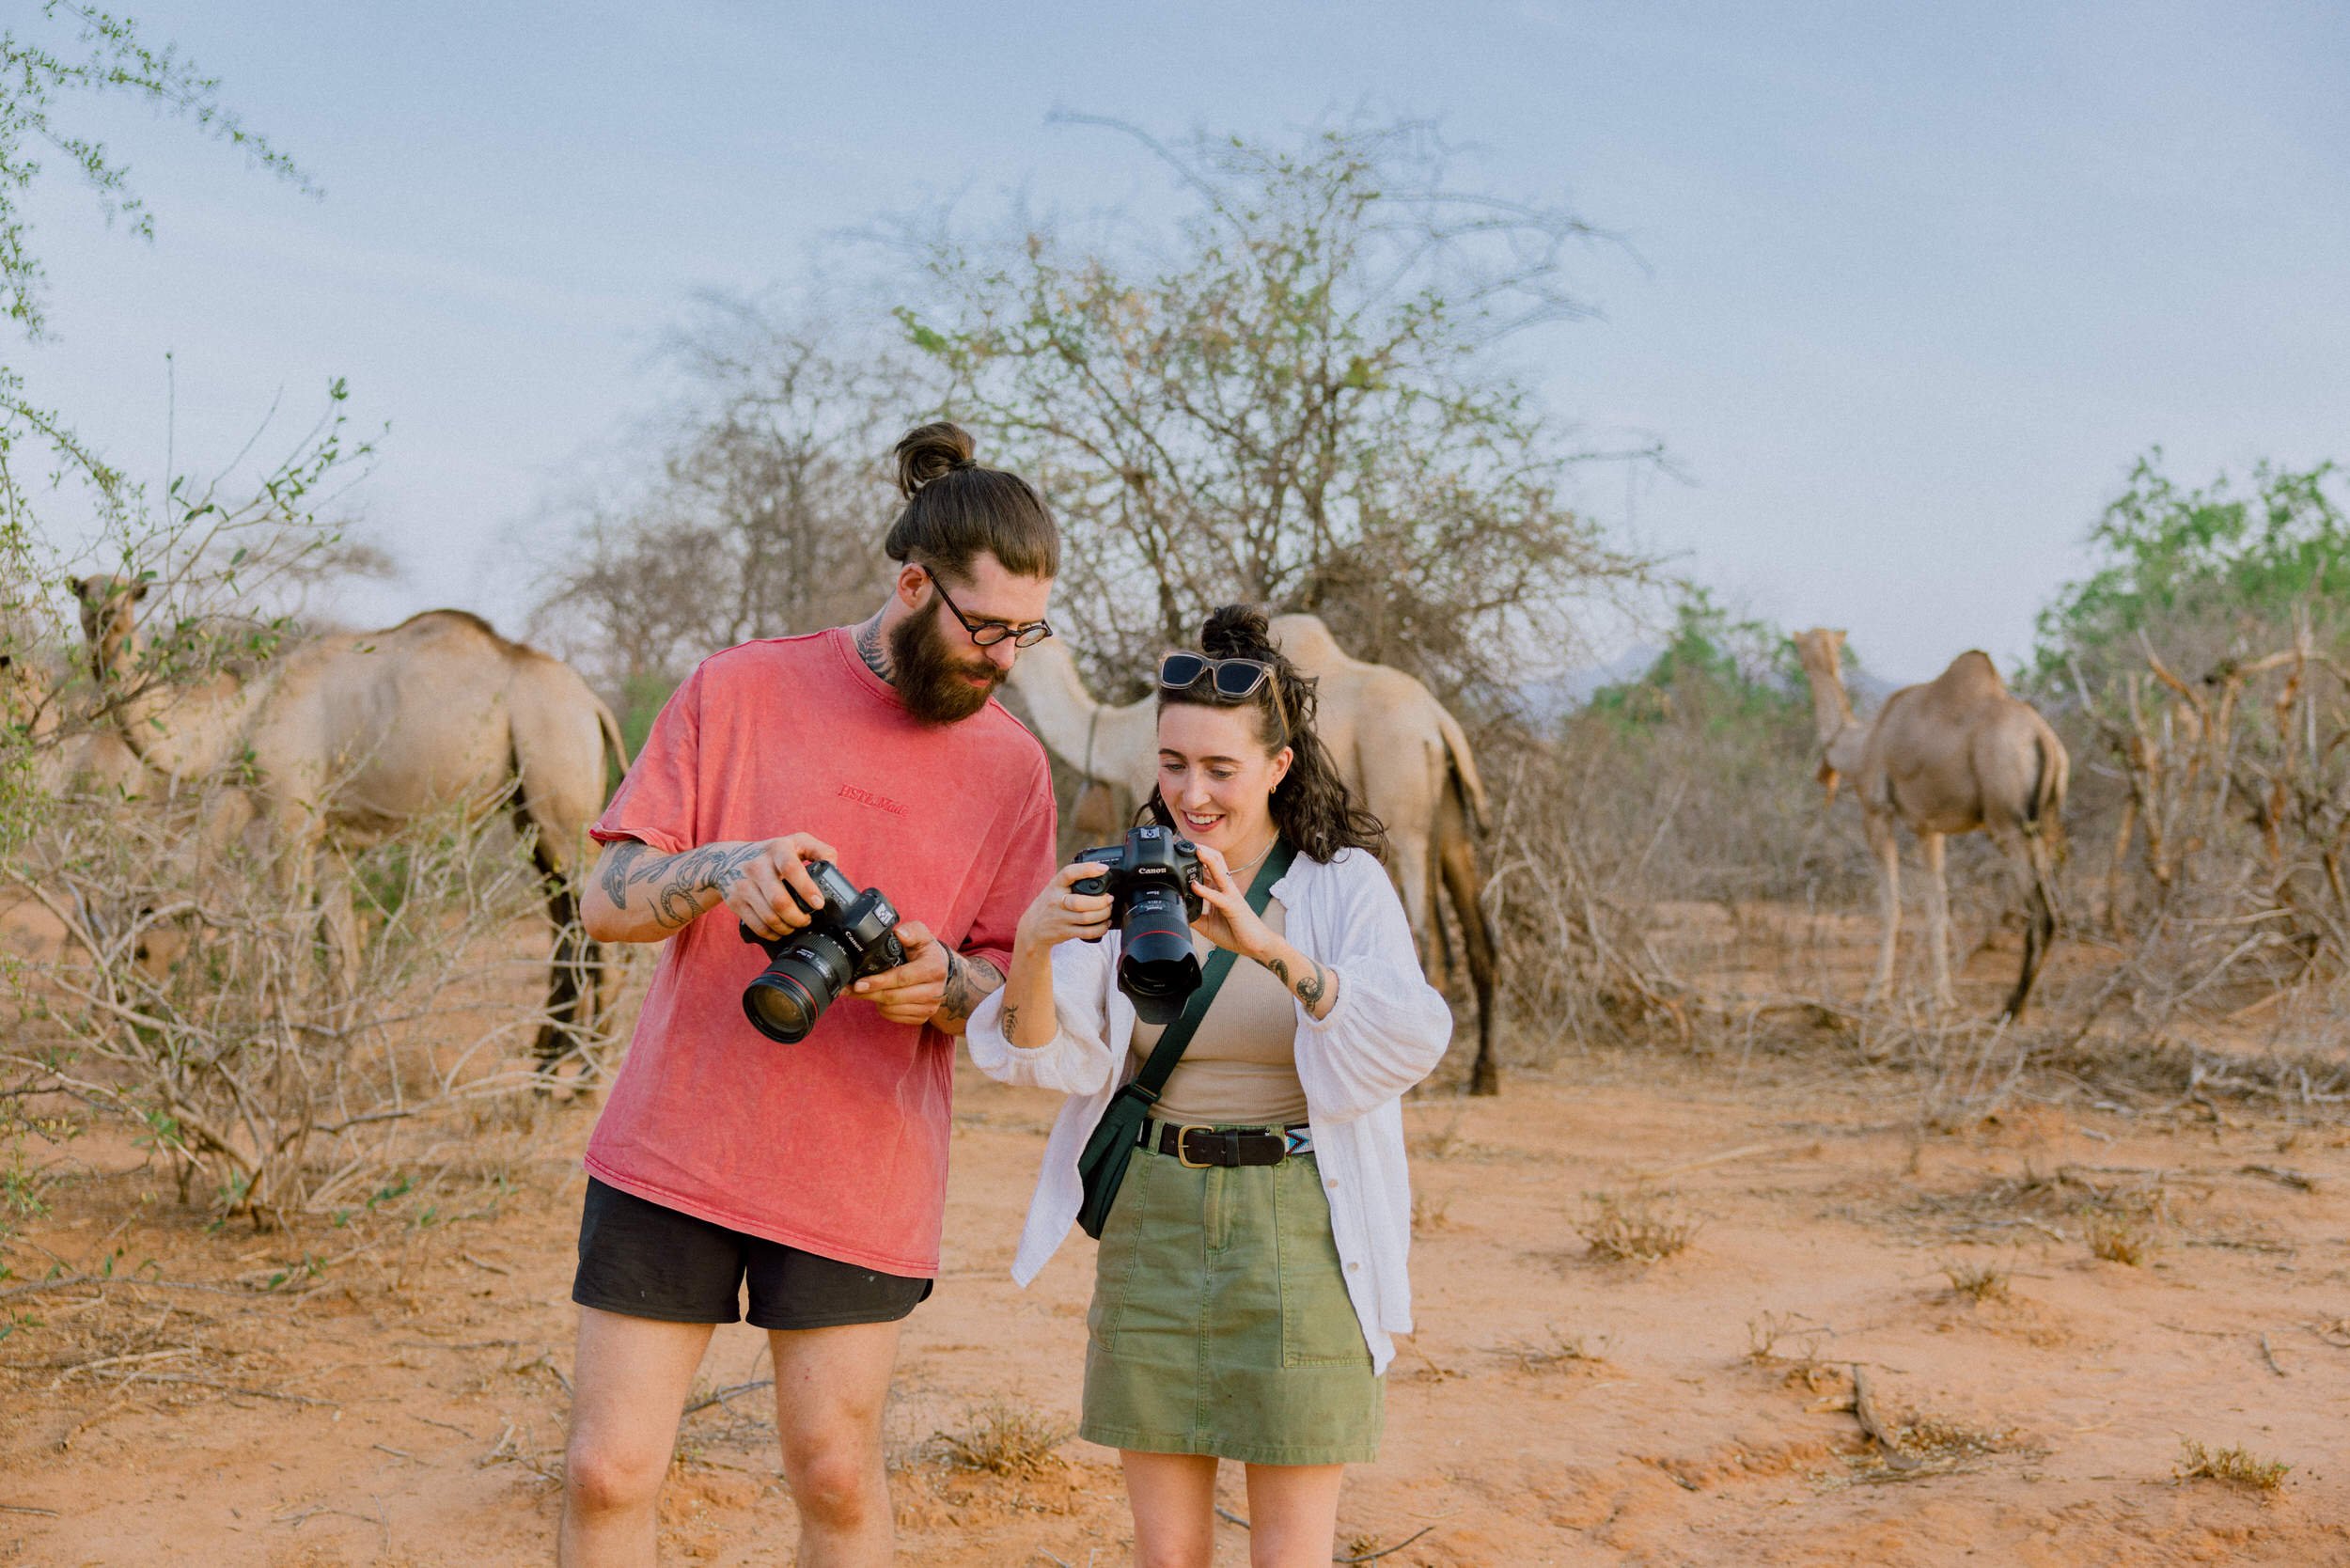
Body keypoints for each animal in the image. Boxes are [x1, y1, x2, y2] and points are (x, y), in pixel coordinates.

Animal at [76, 575, 630, 1067]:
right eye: (84, 592)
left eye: (141, 951)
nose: (104, 618)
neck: (241, 723)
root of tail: (592, 705)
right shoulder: (331, 842)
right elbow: (341, 948)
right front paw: (329, 1060)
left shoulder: (290, 820)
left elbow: (294, 940)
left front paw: (280, 1064)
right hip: (530, 815)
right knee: (564, 922)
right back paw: (544, 1070)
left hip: (557, 782)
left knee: (599, 932)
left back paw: (583, 1077)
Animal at [1010, 611, 1504, 1090]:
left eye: (1025, 639)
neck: (1114, 739)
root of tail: (1438, 722)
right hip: (1451, 812)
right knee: (1478, 928)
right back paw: (1483, 1075)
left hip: (1402, 793)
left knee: (1422, 930)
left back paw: (1421, 1082)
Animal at [1786, 630, 2068, 1025]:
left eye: (1799, 647)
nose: (1797, 654)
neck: (1859, 746)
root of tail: (2044, 741)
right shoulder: (1929, 828)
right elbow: (1938, 906)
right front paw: (1942, 998)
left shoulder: (1876, 812)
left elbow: (1891, 904)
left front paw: (1876, 995)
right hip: (2045, 825)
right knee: (2053, 908)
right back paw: (2015, 1004)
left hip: (2007, 826)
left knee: (2040, 912)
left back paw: (2011, 1008)